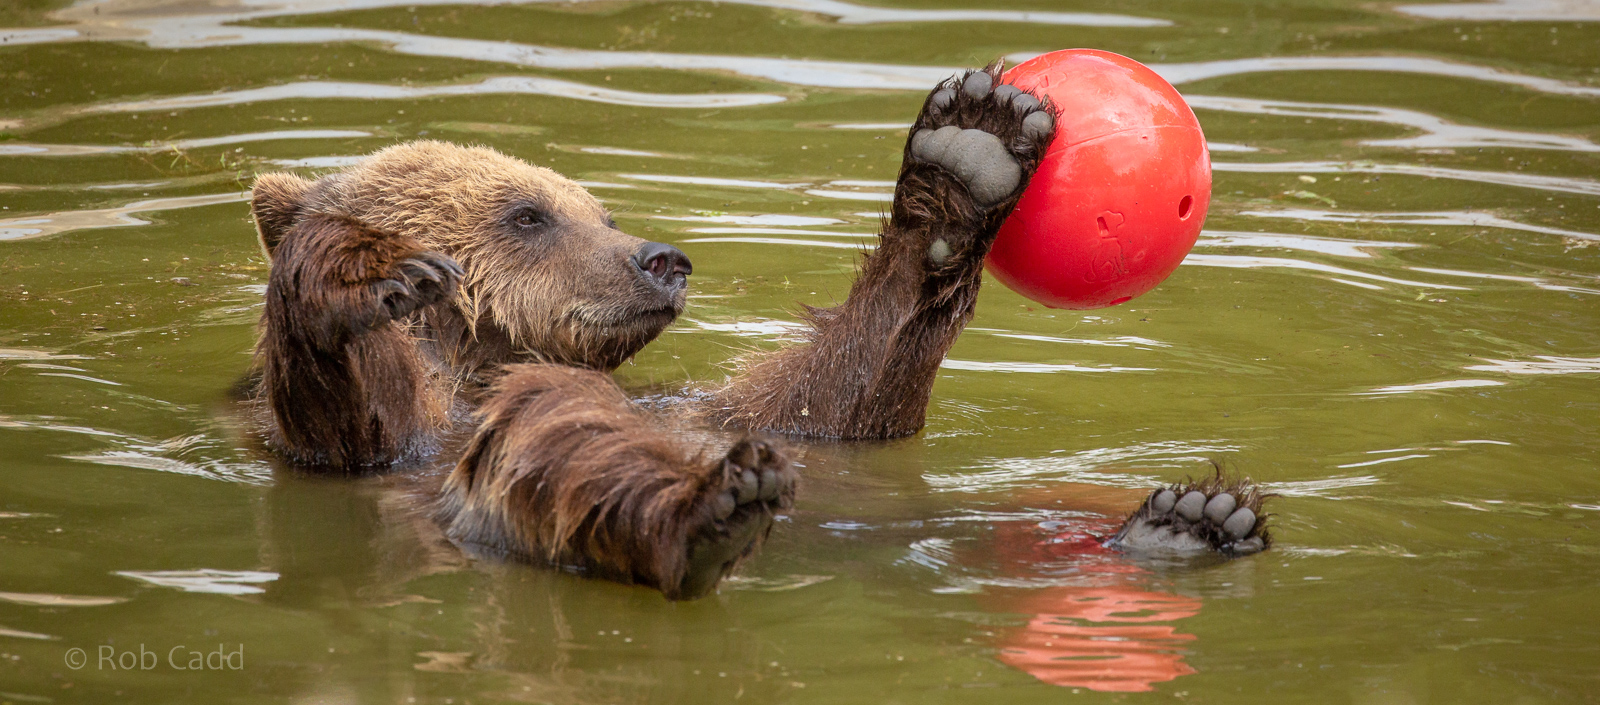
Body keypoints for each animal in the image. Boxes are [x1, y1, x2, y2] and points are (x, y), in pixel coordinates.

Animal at [247, 62, 1272, 600]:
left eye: (599, 209)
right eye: (527, 213)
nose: (661, 257)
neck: (475, 359)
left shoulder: (710, 405)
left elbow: (825, 402)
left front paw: (970, 150)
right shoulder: (395, 448)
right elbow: (361, 410)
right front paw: (356, 273)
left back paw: (1186, 522)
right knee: (560, 439)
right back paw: (709, 514)